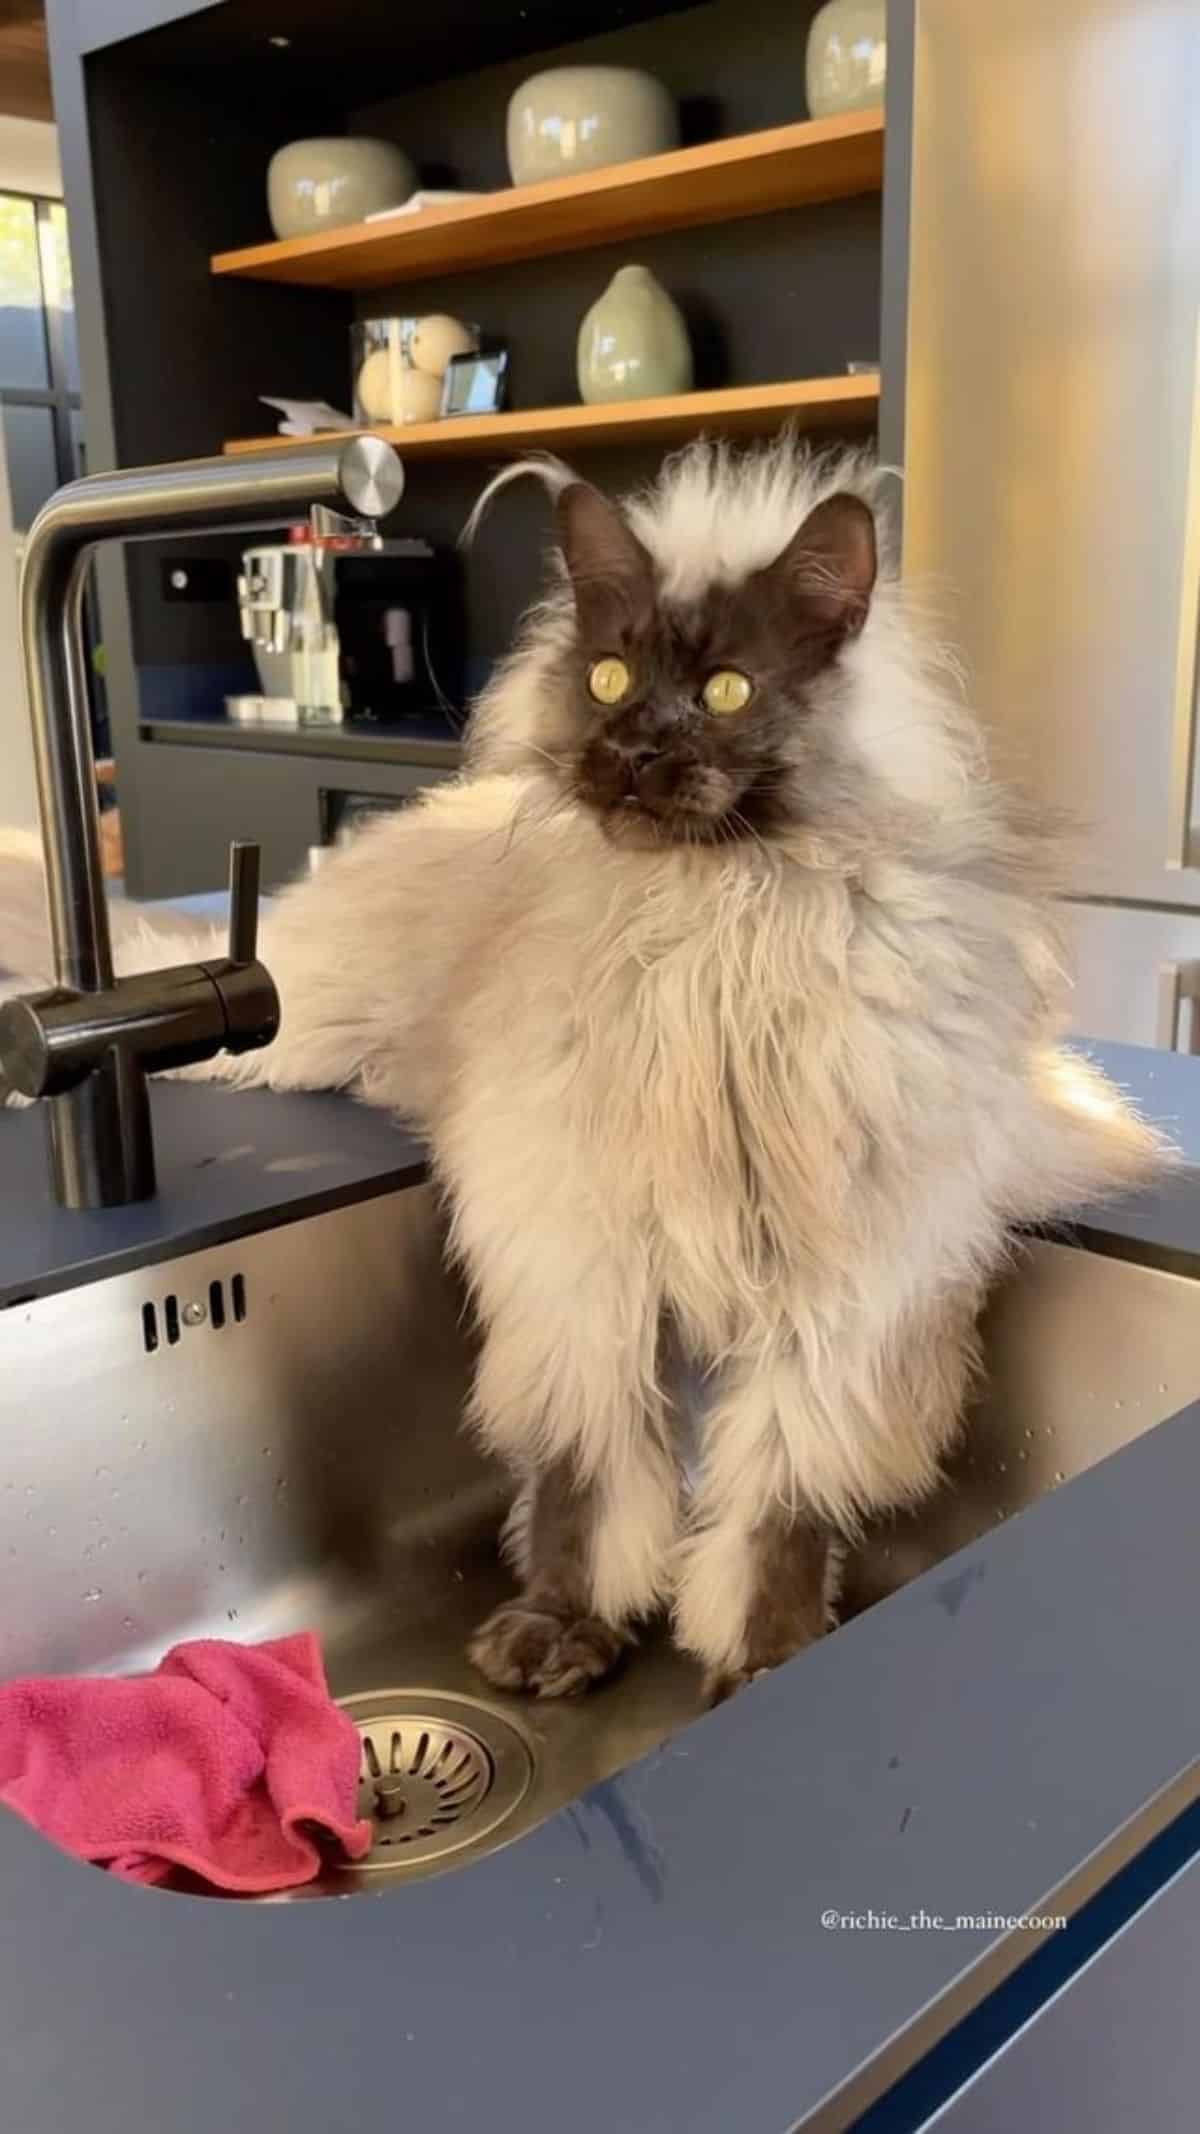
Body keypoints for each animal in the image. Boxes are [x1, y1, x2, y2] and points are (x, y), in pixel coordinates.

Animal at [0, 437, 1161, 1698]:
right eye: (607, 679)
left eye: (727, 691)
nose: (637, 751)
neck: (711, 935)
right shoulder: (581, 1275)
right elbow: (588, 1484)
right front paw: (563, 1624)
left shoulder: (840, 1313)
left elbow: (776, 1510)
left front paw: (764, 1661)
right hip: (295, 1026)